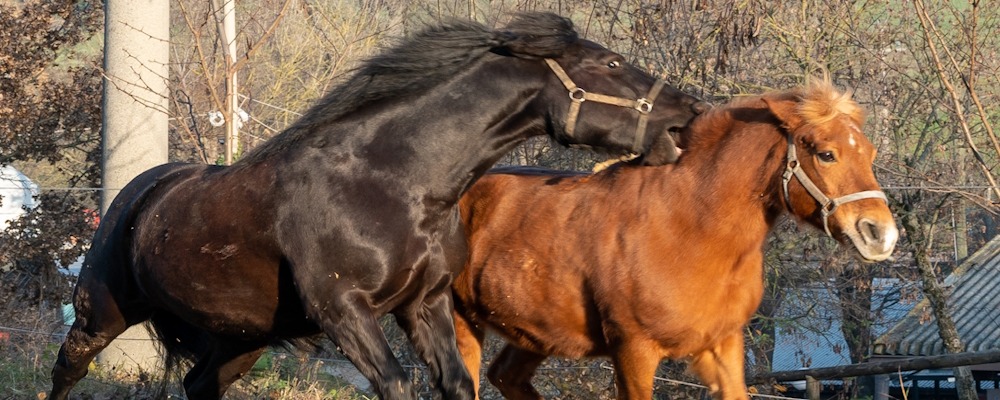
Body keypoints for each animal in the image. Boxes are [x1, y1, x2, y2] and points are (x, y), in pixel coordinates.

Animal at [454, 79, 900, 398]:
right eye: (826, 154)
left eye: (870, 153)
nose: (882, 235)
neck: (688, 229)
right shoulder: (633, 351)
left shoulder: (721, 346)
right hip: (460, 325)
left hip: (534, 334)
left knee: (505, 376)